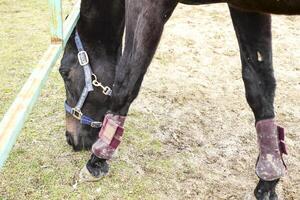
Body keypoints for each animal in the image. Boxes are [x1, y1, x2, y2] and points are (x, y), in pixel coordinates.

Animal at [59, 0, 300, 198]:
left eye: (64, 73)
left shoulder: (146, 6)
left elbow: (127, 82)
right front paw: (268, 178)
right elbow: (259, 83)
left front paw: (97, 160)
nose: (70, 138)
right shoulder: (247, 8)